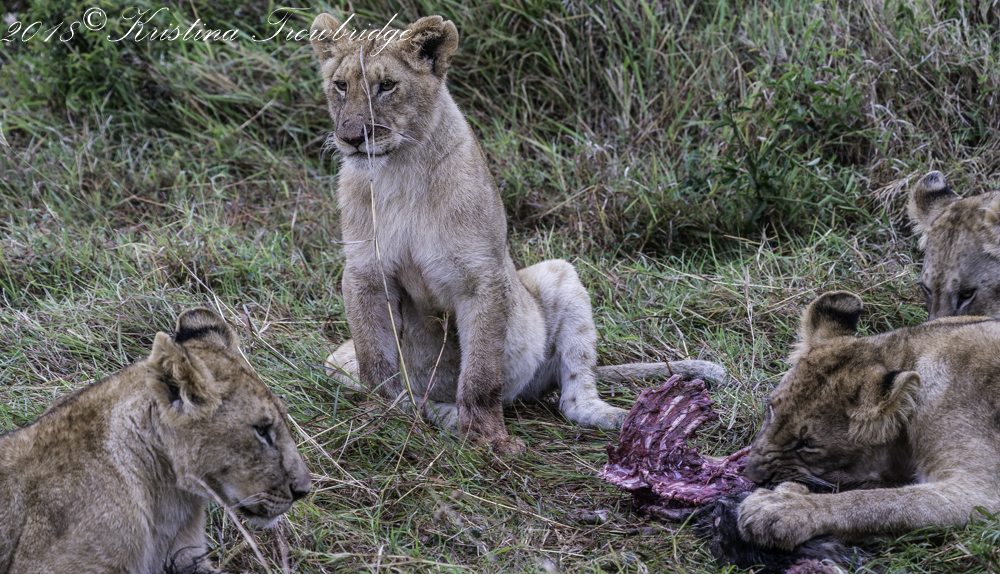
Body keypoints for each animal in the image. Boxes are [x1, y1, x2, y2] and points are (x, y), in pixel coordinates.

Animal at [310, 13, 724, 454]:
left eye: (387, 85)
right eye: (341, 85)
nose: (351, 138)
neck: (399, 171)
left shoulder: (483, 276)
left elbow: (481, 373)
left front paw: (489, 439)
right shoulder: (365, 274)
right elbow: (377, 364)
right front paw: (379, 421)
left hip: (559, 274)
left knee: (574, 397)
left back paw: (620, 417)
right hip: (336, 362)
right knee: (408, 391)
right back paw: (434, 413)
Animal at [737, 290, 1000, 550]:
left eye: (807, 444)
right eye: (770, 410)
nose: (752, 475)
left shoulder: (979, 495)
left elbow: (879, 502)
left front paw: (785, 506)